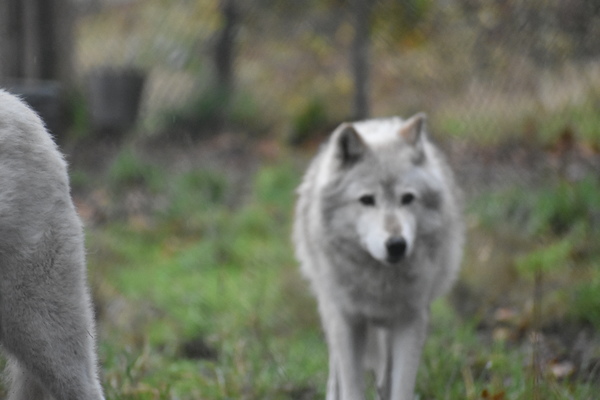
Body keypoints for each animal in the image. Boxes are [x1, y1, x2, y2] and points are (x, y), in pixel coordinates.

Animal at [293, 113, 464, 400]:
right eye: (366, 199)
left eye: (407, 198)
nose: (396, 245)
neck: (379, 280)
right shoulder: (347, 320)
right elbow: (351, 387)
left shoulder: (411, 320)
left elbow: (400, 386)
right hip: (330, 309)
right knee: (336, 370)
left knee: (385, 375)